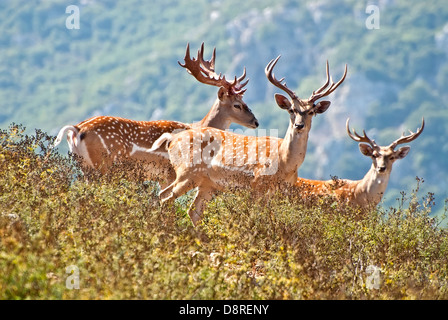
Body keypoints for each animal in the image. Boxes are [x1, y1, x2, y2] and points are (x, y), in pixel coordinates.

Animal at [51, 43, 260, 188]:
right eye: (237, 105)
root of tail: (76, 129)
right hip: (103, 165)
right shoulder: (169, 173)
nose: (256, 122)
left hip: (85, 167)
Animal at [152, 56, 348, 225]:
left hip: (206, 183)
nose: (299, 125)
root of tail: (172, 140)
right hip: (187, 172)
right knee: (165, 196)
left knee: (192, 211)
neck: (285, 163)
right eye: (291, 109)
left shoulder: (282, 192)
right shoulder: (257, 185)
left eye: (311, 111)